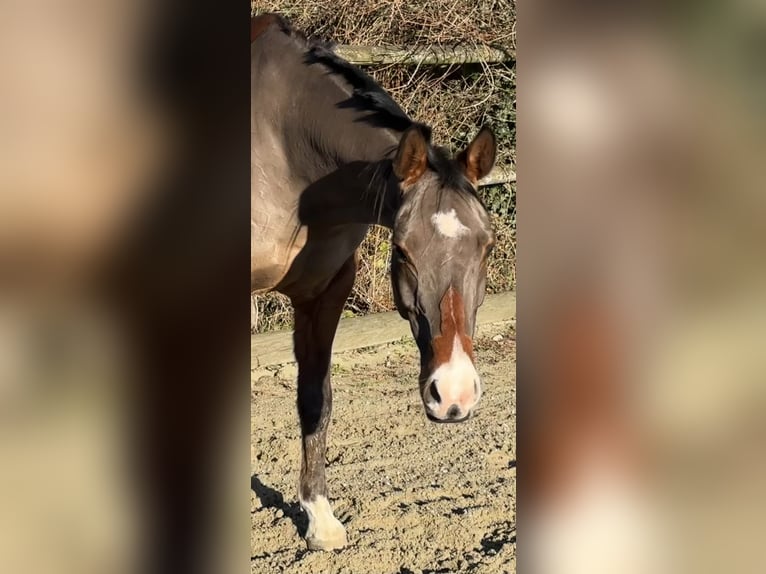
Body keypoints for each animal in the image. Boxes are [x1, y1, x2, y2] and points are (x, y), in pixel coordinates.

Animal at [254, 14, 498, 552]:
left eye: (488, 246)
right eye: (403, 249)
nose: (454, 396)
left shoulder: (325, 292)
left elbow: (315, 399)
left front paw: (320, 521)